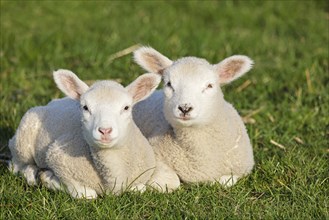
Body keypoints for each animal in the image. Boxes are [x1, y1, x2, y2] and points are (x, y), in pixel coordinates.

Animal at [8, 69, 160, 199]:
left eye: (126, 107)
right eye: (85, 107)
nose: (105, 130)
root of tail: (51, 103)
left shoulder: (140, 180)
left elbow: (138, 189)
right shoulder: (57, 157)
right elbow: (86, 195)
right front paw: (48, 178)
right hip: (22, 143)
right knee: (16, 166)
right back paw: (32, 174)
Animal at [132, 46, 255, 191]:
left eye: (209, 85)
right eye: (169, 84)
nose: (185, 108)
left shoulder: (241, 169)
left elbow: (225, 181)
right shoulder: (155, 153)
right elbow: (169, 182)